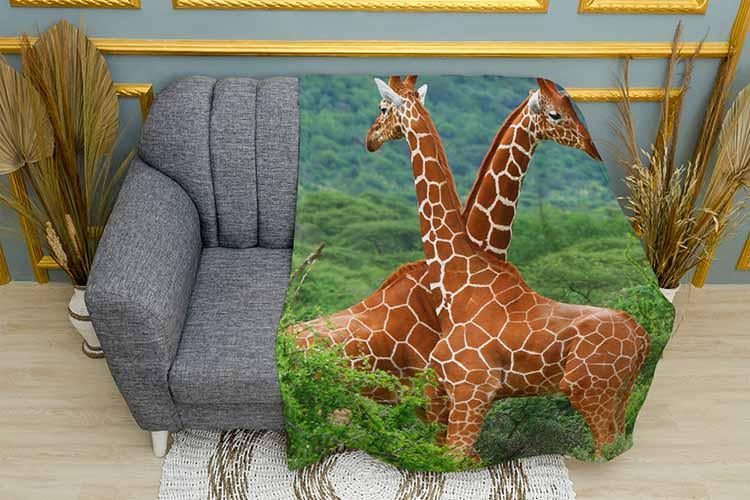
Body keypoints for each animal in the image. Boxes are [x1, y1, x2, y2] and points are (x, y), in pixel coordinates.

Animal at [364, 75, 650, 458]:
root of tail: (643, 338)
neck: (456, 278)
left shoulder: (471, 389)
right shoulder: (451, 393)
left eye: (382, 108)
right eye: (558, 114)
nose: (371, 139)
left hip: (590, 391)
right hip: (618, 395)